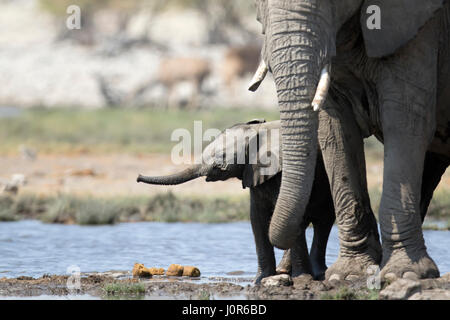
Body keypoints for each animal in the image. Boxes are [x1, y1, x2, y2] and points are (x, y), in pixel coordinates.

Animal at [139, 120, 336, 282]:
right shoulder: (254, 172)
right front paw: (259, 281)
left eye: (222, 156)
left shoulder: (281, 174)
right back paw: (286, 271)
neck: (259, 130)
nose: (138, 178)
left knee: (322, 222)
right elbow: (257, 219)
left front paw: (301, 279)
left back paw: (317, 273)